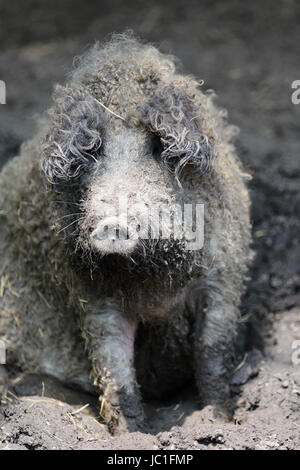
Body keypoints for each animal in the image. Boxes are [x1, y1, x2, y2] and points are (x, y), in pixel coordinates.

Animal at [0, 35, 253, 436]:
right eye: (91, 151)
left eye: (157, 148)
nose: (111, 225)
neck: (152, 281)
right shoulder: (91, 295)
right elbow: (114, 369)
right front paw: (130, 435)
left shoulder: (223, 279)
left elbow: (212, 355)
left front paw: (218, 419)